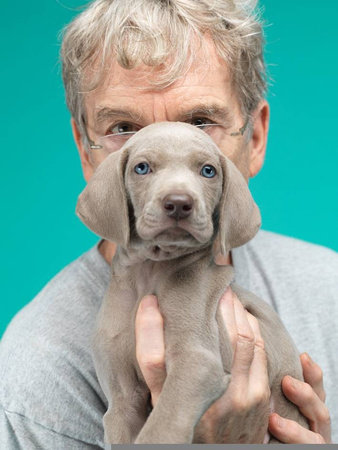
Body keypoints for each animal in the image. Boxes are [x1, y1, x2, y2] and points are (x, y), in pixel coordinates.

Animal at [76, 121, 308, 444]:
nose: (178, 203)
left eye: (208, 171)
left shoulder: (196, 361)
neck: (150, 273)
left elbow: (161, 428)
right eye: (142, 168)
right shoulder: (121, 402)